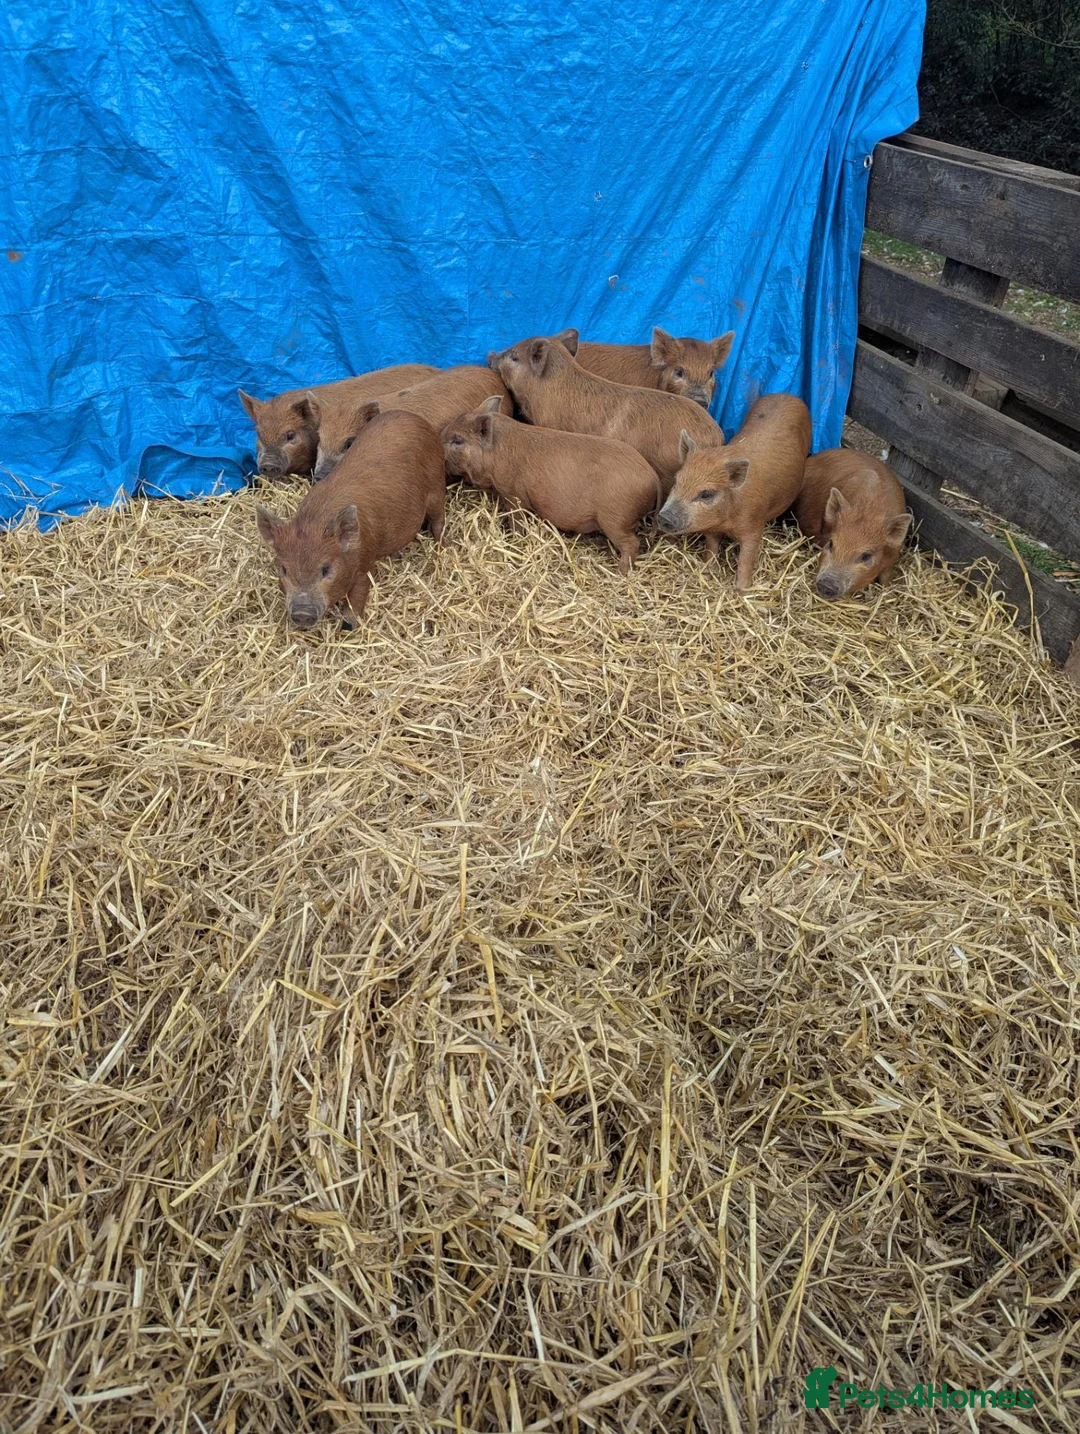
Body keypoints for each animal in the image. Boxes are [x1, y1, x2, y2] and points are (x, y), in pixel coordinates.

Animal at [254, 409, 445, 629]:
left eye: (325, 569)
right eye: (284, 569)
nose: (302, 613)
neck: (315, 521)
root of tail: (413, 417)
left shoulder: (365, 562)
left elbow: (357, 597)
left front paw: (349, 625)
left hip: (436, 486)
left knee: (439, 521)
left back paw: (441, 548)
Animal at [442, 396, 661, 574]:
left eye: (458, 440)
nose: (438, 441)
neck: (495, 454)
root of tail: (652, 477)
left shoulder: (514, 495)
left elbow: (517, 521)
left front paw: (514, 537)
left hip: (615, 518)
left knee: (632, 543)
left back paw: (621, 573)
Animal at [656, 393, 811, 590]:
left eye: (706, 494)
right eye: (676, 481)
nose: (664, 517)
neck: (728, 520)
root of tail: (788, 395)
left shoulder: (754, 526)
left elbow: (746, 559)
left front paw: (742, 589)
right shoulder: (712, 527)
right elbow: (711, 548)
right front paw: (709, 572)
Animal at [796, 449, 912, 599]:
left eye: (866, 556)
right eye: (831, 543)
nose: (827, 585)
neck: (870, 509)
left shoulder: (893, 556)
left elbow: (887, 579)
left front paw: (888, 593)